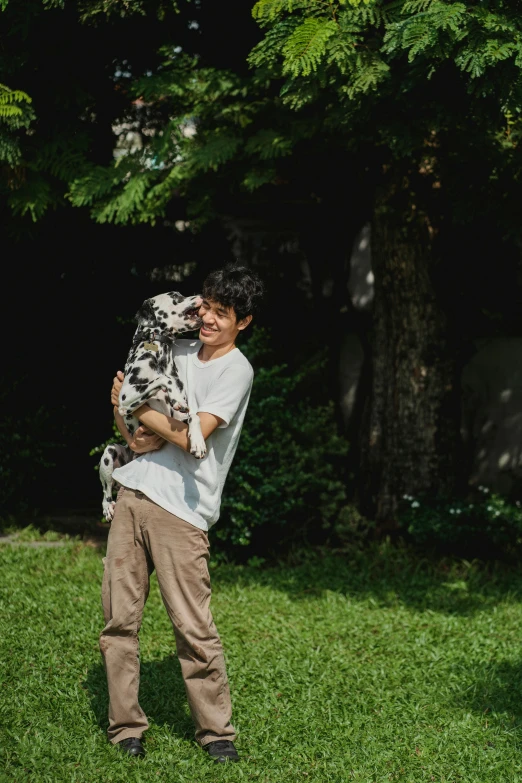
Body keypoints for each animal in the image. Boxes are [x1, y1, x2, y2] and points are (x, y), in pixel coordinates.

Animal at [98, 290, 204, 524]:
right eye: (175, 296)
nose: (202, 295)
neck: (158, 351)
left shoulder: (179, 418)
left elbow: (194, 415)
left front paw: (198, 443)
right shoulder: (126, 397)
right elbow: (163, 379)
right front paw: (173, 392)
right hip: (109, 453)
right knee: (105, 491)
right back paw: (108, 507)